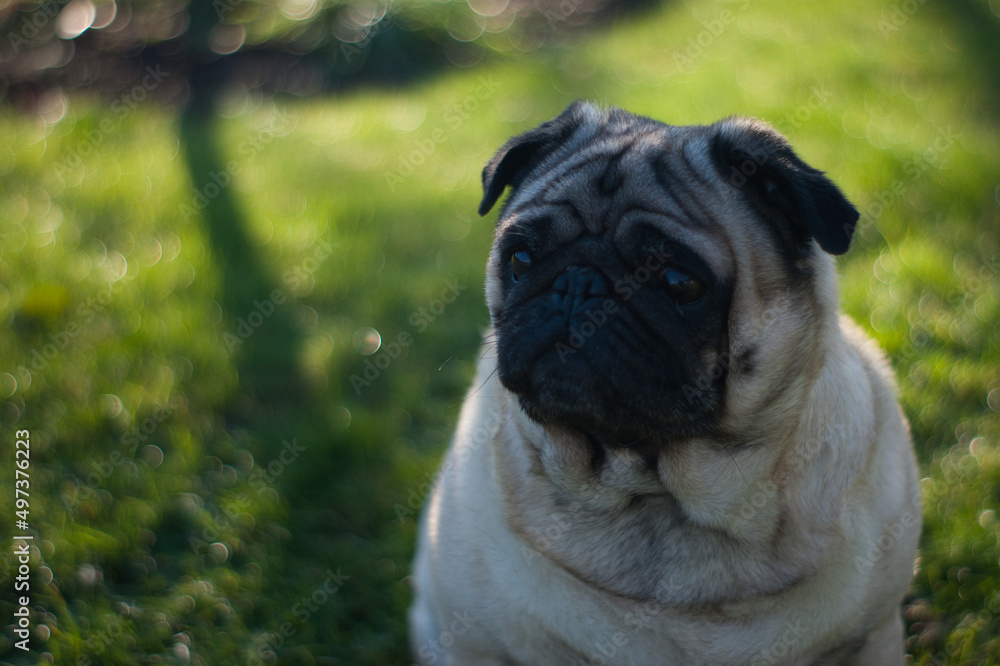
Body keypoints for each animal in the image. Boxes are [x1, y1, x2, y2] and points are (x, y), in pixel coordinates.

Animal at [406, 101, 920, 664]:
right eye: (519, 259)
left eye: (678, 281)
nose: (579, 284)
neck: (651, 487)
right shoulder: (473, 645)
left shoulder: (871, 637)